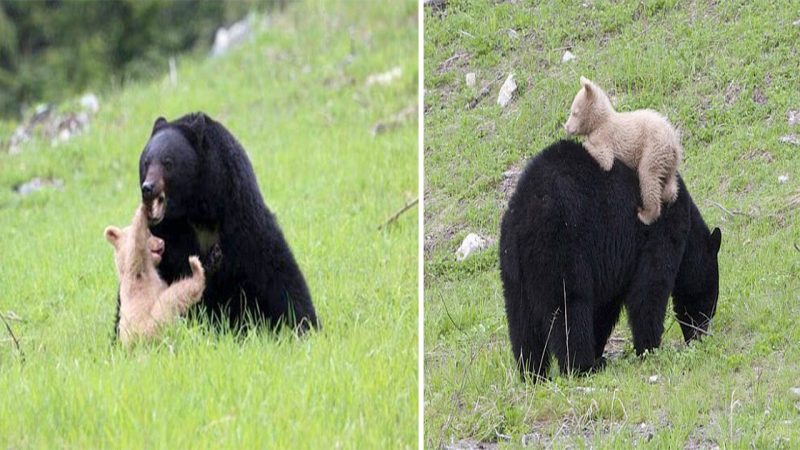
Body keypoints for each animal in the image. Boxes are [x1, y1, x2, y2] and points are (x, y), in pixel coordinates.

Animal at [126, 110, 320, 332]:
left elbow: (276, 268)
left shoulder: (241, 213)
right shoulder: (166, 231)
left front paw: (304, 323)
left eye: (168, 162)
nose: (148, 188)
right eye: (146, 162)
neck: (198, 209)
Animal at [500, 140, 720, 380]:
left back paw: (533, 373)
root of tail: (523, 221)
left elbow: (605, 307)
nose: (700, 336)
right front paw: (649, 348)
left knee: (521, 321)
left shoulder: (613, 266)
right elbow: (649, 289)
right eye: (710, 302)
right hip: (560, 252)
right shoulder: (659, 233)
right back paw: (583, 367)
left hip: (513, 270)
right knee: (570, 309)